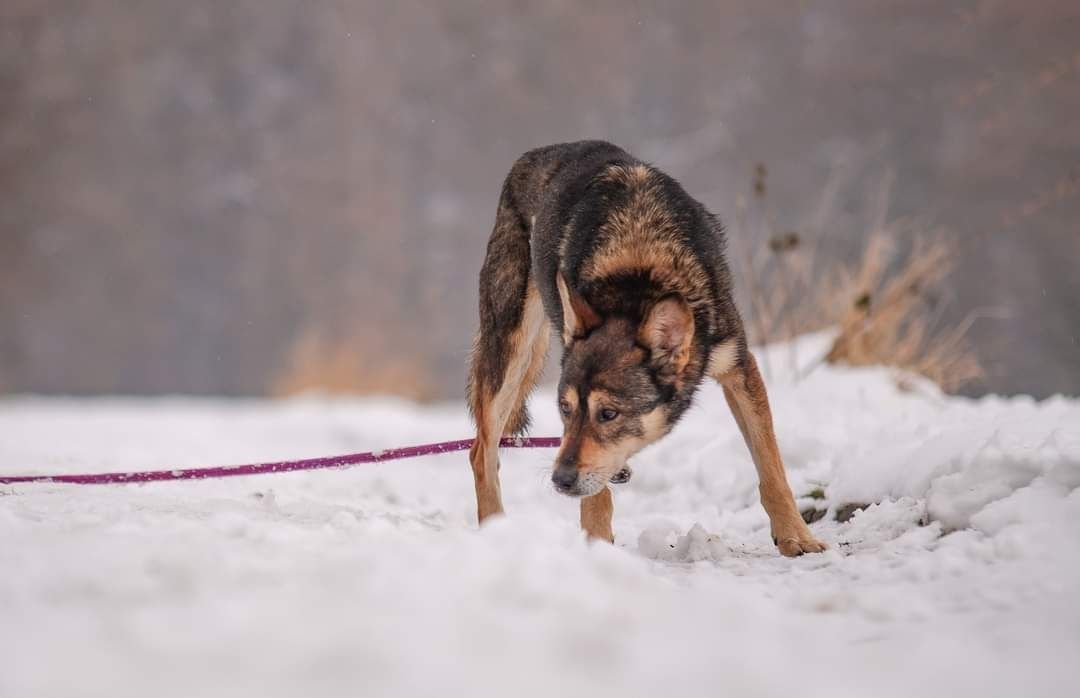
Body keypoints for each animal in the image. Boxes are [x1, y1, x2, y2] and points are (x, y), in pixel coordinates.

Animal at [464, 140, 825, 557]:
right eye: (565, 409)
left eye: (608, 414)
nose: (560, 480)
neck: (641, 275)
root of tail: (535, 153)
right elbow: (595, 494)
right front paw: (596, 547)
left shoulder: (738, 365)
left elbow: (771, 468)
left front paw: (796, 537)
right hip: (510, 353)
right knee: (481, 452)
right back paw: (495, 534)